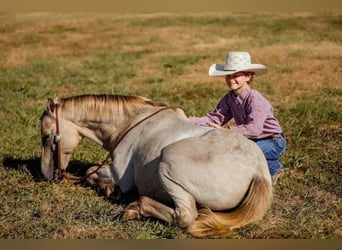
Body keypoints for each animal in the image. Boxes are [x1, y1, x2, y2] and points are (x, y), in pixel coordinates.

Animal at [39, 93, 272, 236]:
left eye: (46, 136)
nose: (45, 174)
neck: (131, 123)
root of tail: (258, 171)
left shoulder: (118, 175)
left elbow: (91, 172)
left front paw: (110, 190)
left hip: (168, 160)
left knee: (185, 217)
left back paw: (136, 208)